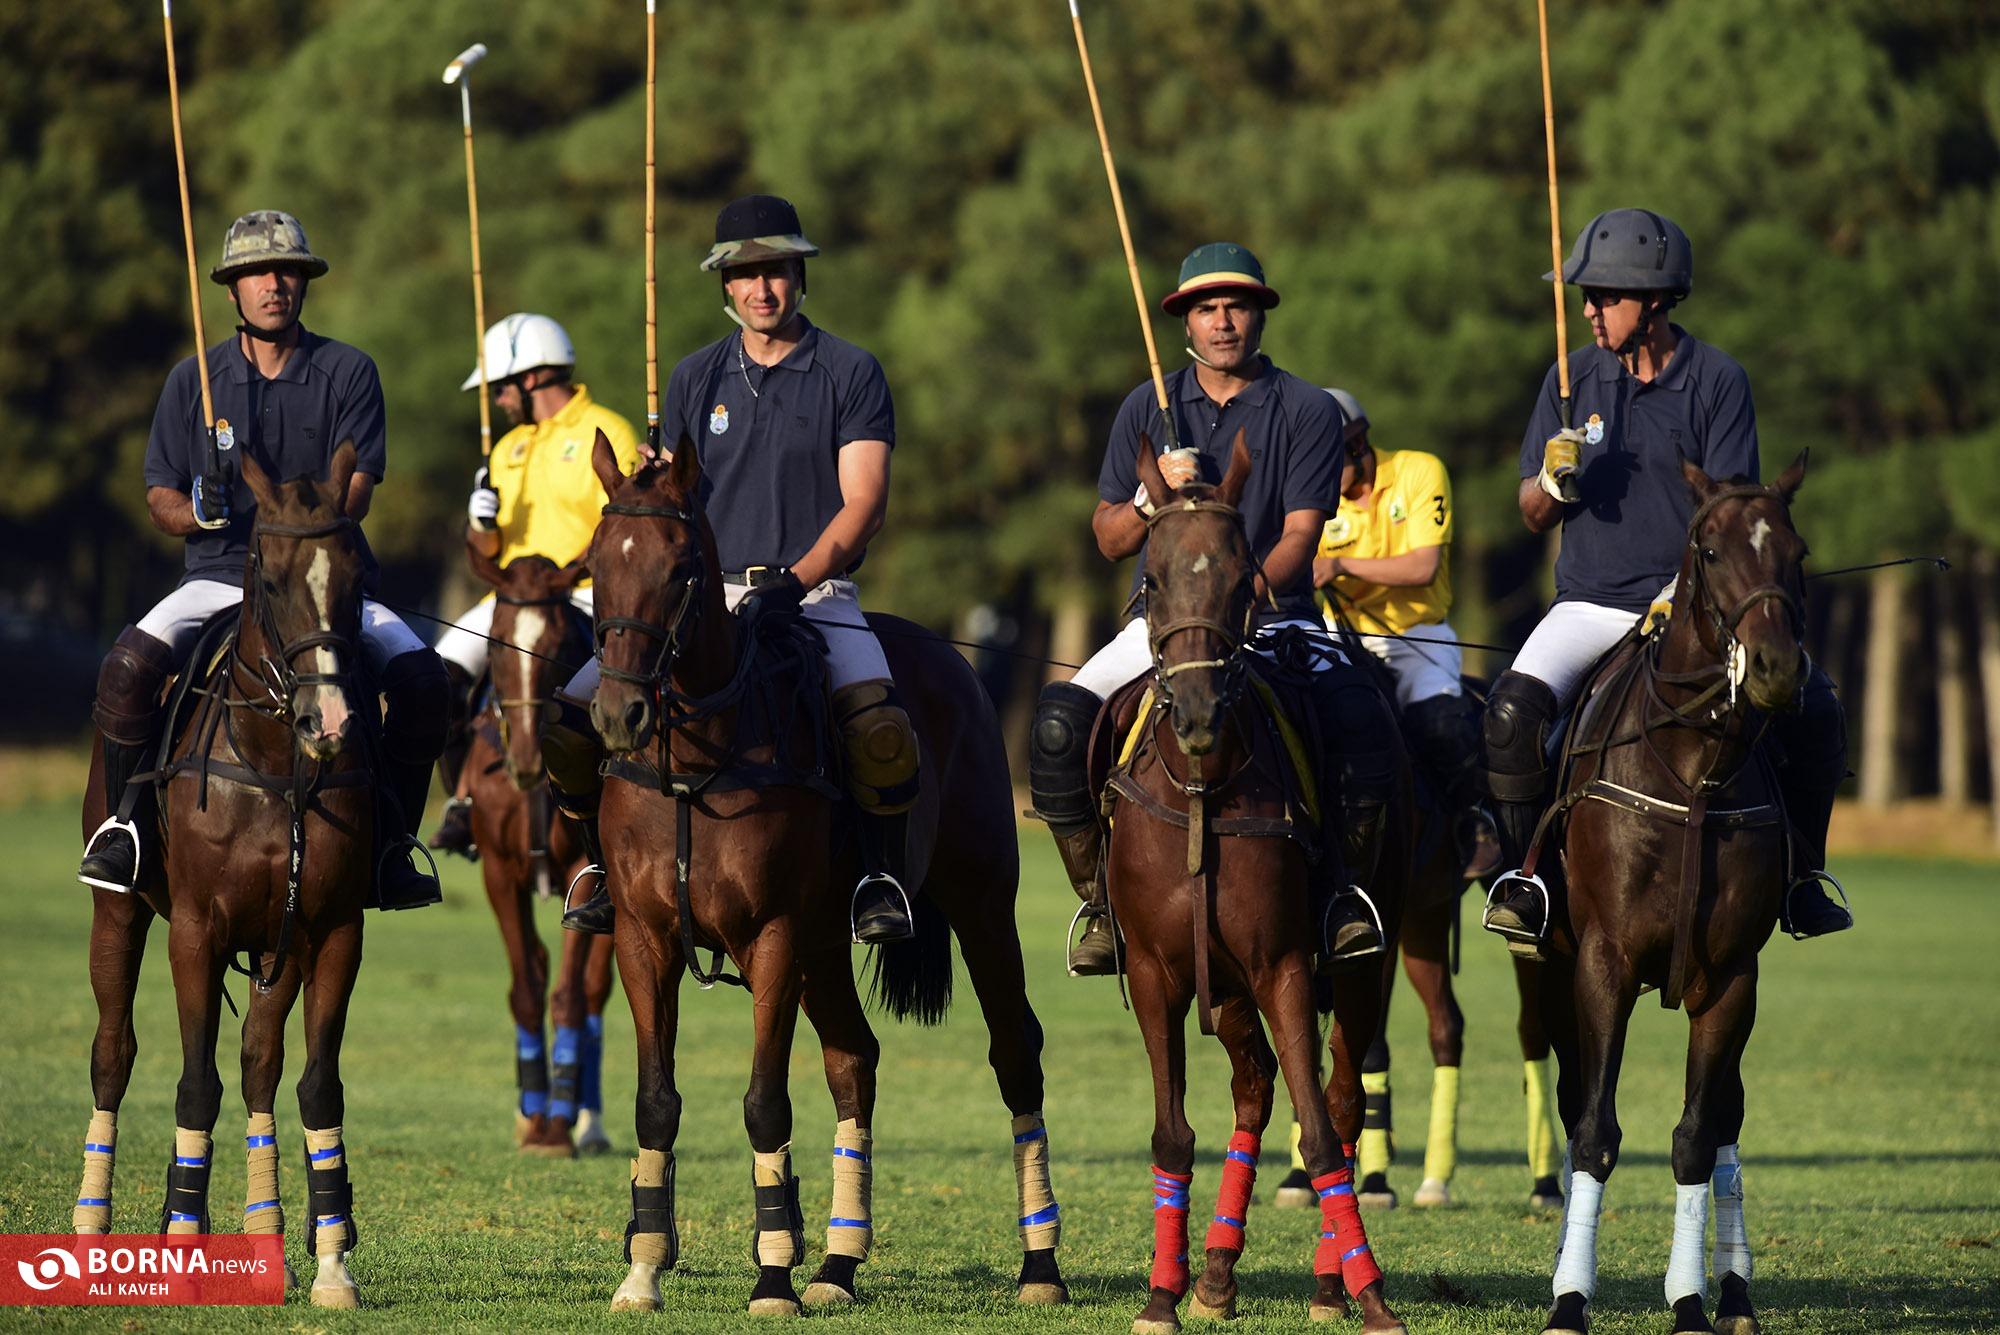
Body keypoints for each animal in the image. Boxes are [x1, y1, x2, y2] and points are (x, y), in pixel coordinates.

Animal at [72, 444, 377, 1307]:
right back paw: (92, 1227)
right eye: (269, 578)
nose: (328, 722)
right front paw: (179, 1237)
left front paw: (331, 1263)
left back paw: (264, 1232)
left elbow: (310, 1082)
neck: (272, 764)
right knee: (114, 1050)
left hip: (278, 944)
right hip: (120, 914)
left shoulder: (329, 929)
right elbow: (194, 1082)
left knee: (259, 1061)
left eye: (357, 575)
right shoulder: (197, 931)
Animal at [457, 544, 618, 1158]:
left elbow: (571, 994)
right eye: (497, 639)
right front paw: (533, 1113)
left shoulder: (585, 871)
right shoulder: (500, 874)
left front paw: (557, 1125)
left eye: (554, 644)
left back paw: (584, 1120)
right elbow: (526, 985)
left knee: (595, 992)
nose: (525, 759)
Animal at [581, 432, 1064, 1316]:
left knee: (1015, 1049)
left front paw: (772, 1278)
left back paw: (1040, 1263)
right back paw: (839, 1262)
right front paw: (643, 1270)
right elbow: (657, 1100)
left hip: (980, 900)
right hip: (825, 942)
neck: (696, 763)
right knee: (854, 1060)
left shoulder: (770, 933)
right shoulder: (643, 936)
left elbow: (764, 1101)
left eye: (680, 567)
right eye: (597, 560)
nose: (619, 714)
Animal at [1102, 437, 1406, 1335]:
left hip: (1363, 963)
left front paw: (1371, 1294)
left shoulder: (1284, 966)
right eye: (1152, 577)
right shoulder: (1157, 972)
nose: (1199, 714)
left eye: (1244, 580)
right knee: (1253, 1087)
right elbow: (1173, 1133)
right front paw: (1161, 1294)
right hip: (1227, 983)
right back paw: (1215, 1270)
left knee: (1336, 1099)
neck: (1204, 785)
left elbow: (1322, 1130)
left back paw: (1329, 1282)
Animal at [1532, 453, 1812, 1335]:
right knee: (1574, 1099)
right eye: (1711, 551)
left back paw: (1735, 1290)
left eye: (1797, 551)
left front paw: (1692, 1300)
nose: (1777, 670)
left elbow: (1695, 1137)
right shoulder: (1603, 963)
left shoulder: (1732, 977)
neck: (1695, 770)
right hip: (1553, 968)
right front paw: (1570, 1299)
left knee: (1725, 1122)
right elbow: (1594, 1130)